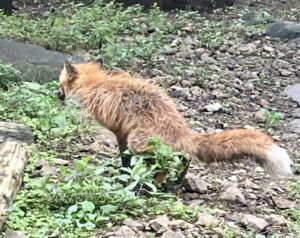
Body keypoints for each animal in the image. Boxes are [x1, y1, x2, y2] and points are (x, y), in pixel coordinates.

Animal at [56, 60, 292, 178]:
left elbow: (124, 159)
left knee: (167, 162)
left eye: (59, 83)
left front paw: (123, 174)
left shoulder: (121, 132)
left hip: (138, 142)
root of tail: (182, 131)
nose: (55, 94)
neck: (96, 84)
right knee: (184, 158)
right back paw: (178, 180)